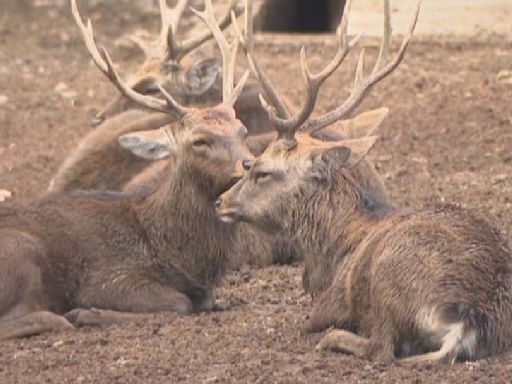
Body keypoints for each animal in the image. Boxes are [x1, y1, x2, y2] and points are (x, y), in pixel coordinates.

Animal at [0, 0, 255, 340]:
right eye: (200, 140)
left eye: (243, 131)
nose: (250, 164)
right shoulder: (108, 276)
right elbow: (179, 302)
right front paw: (89, 312)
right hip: (21, 250)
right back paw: (66, 316)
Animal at [217, 0, 512, 364]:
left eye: (260, 170)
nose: (221, 201)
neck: (330, 254)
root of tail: (468, 319)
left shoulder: (329, 303)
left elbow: (310, 323)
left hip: (388, 271)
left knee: (381, 347)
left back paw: (334, 339)